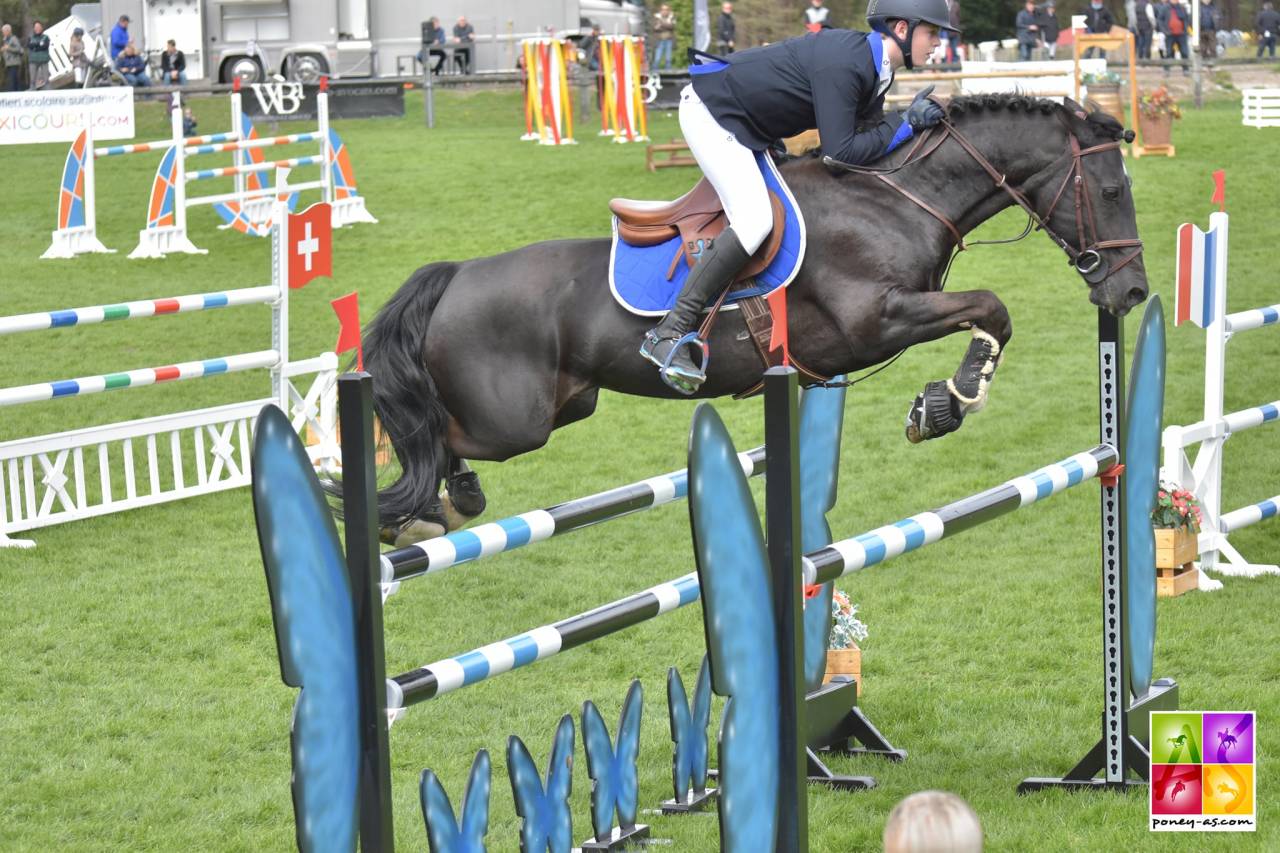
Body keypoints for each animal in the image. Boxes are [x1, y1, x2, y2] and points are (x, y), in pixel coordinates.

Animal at [360, 94, 1149, 542]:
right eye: (1112, 190)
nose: (1133, 293)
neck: (896, 198)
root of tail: (457, 275)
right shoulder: (875, 320)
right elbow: (992, 306)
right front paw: (948, 400)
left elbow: (990, 315)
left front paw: (941, 404)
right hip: (512, 421)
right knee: (426, 431)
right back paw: (413, 511)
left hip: (566, 405)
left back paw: (441, 502)